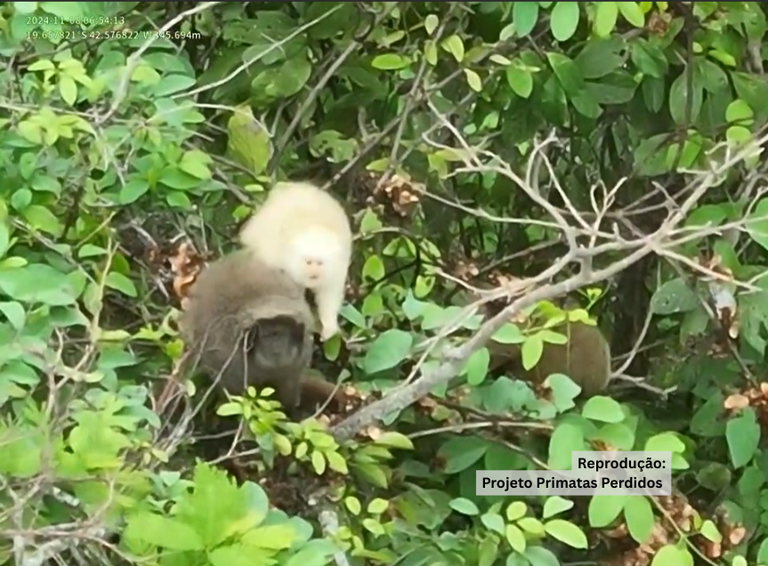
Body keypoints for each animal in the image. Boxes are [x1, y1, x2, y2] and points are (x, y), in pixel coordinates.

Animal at [238, 181, 353, 342]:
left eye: (319, 263)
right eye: (308, 262)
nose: (313, 273)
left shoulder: (338, 266)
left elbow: (329, 295)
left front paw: (329, 326)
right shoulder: (277, 257)